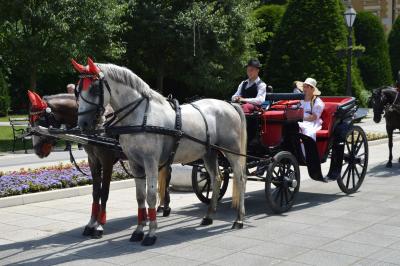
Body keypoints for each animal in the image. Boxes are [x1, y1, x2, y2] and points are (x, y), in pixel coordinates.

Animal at [27, 90, 172, 238]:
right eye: (30, 120)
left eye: (40, 119)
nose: (37, 149)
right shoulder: (93, 160)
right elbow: (96, 192)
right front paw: (91, 223)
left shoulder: (106, 161)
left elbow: (104, 192)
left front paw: (100, 225)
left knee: (166, 176)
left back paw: (164, 207)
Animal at [72, 57, 247, 245]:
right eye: (77, 90)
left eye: (93, 88)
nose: (83, 124)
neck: (140, 117)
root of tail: (230, 105)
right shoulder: (134, 163)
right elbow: (140, 196)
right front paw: (139, 230)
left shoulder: (149, 161)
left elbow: (150, 195)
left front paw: (151, 233)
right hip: (209, 153)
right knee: (216, 179)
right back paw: (209, 216)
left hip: (232, 152)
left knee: (240, 178)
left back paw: (239, 219)